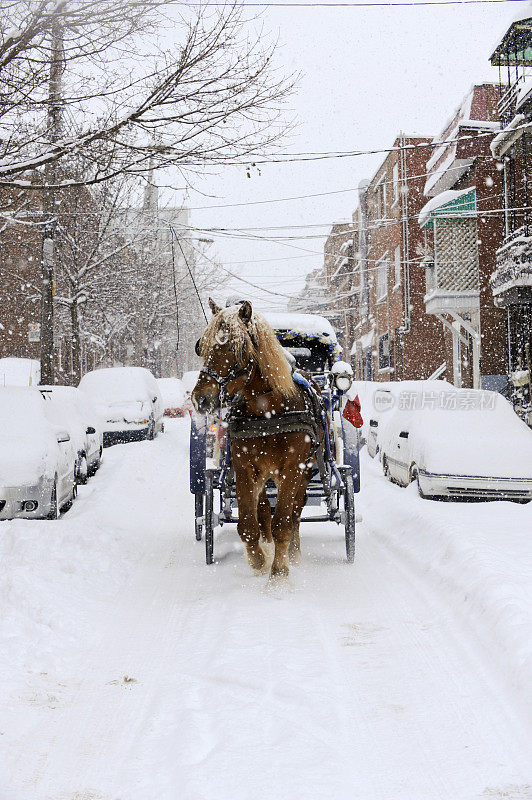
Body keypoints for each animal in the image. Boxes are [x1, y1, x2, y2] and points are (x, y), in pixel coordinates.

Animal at [191, 296, 324, 580]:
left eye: (234, 347)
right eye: (201, 346)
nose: (201, 399)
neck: (267, 412)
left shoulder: (293, 467)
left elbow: (283, 521)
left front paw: (279, 572)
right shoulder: (244, 467)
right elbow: (248, 524)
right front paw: (258, 561)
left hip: (306, 470)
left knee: (296, 509)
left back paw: (293, 552)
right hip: (264, 473)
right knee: (263, 510)